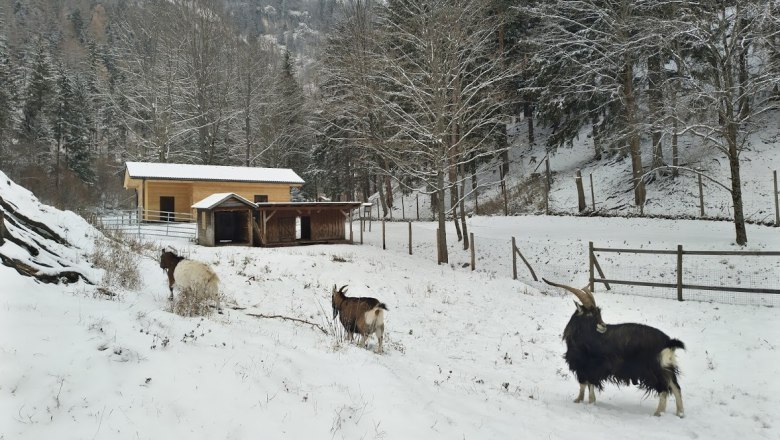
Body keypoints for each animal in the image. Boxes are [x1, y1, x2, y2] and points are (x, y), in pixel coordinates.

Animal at [544, 278, 684, 416]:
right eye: (589, 314)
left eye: (597, 312)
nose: (603, 326)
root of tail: (668, 341)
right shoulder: (584, 368)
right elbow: (584, 385)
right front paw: (580, 400)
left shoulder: (589, 366)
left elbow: (588, 385)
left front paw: (588, 402)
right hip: (666, 367)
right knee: (675, 386)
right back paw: (680, 413)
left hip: (652, 369)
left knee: (664, 389)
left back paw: (658, 413)